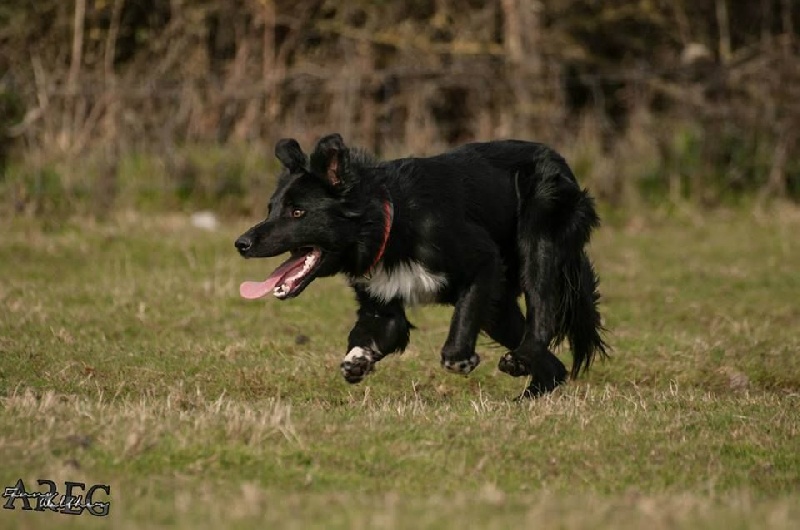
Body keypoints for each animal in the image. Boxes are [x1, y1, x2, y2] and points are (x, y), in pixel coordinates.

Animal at [234, 133, 608, 396]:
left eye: (298, 212)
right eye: (271, 208)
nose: (241, 244)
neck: (389, 220)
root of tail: (558, 158)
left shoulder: (483, 260)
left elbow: (461, 321)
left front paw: (461, 358)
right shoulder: (382, 301)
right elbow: (379, 330)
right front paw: (358, 360)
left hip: (539, 237)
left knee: (542, 310)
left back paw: (520, 359)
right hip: (499, 307)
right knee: (555, 367)